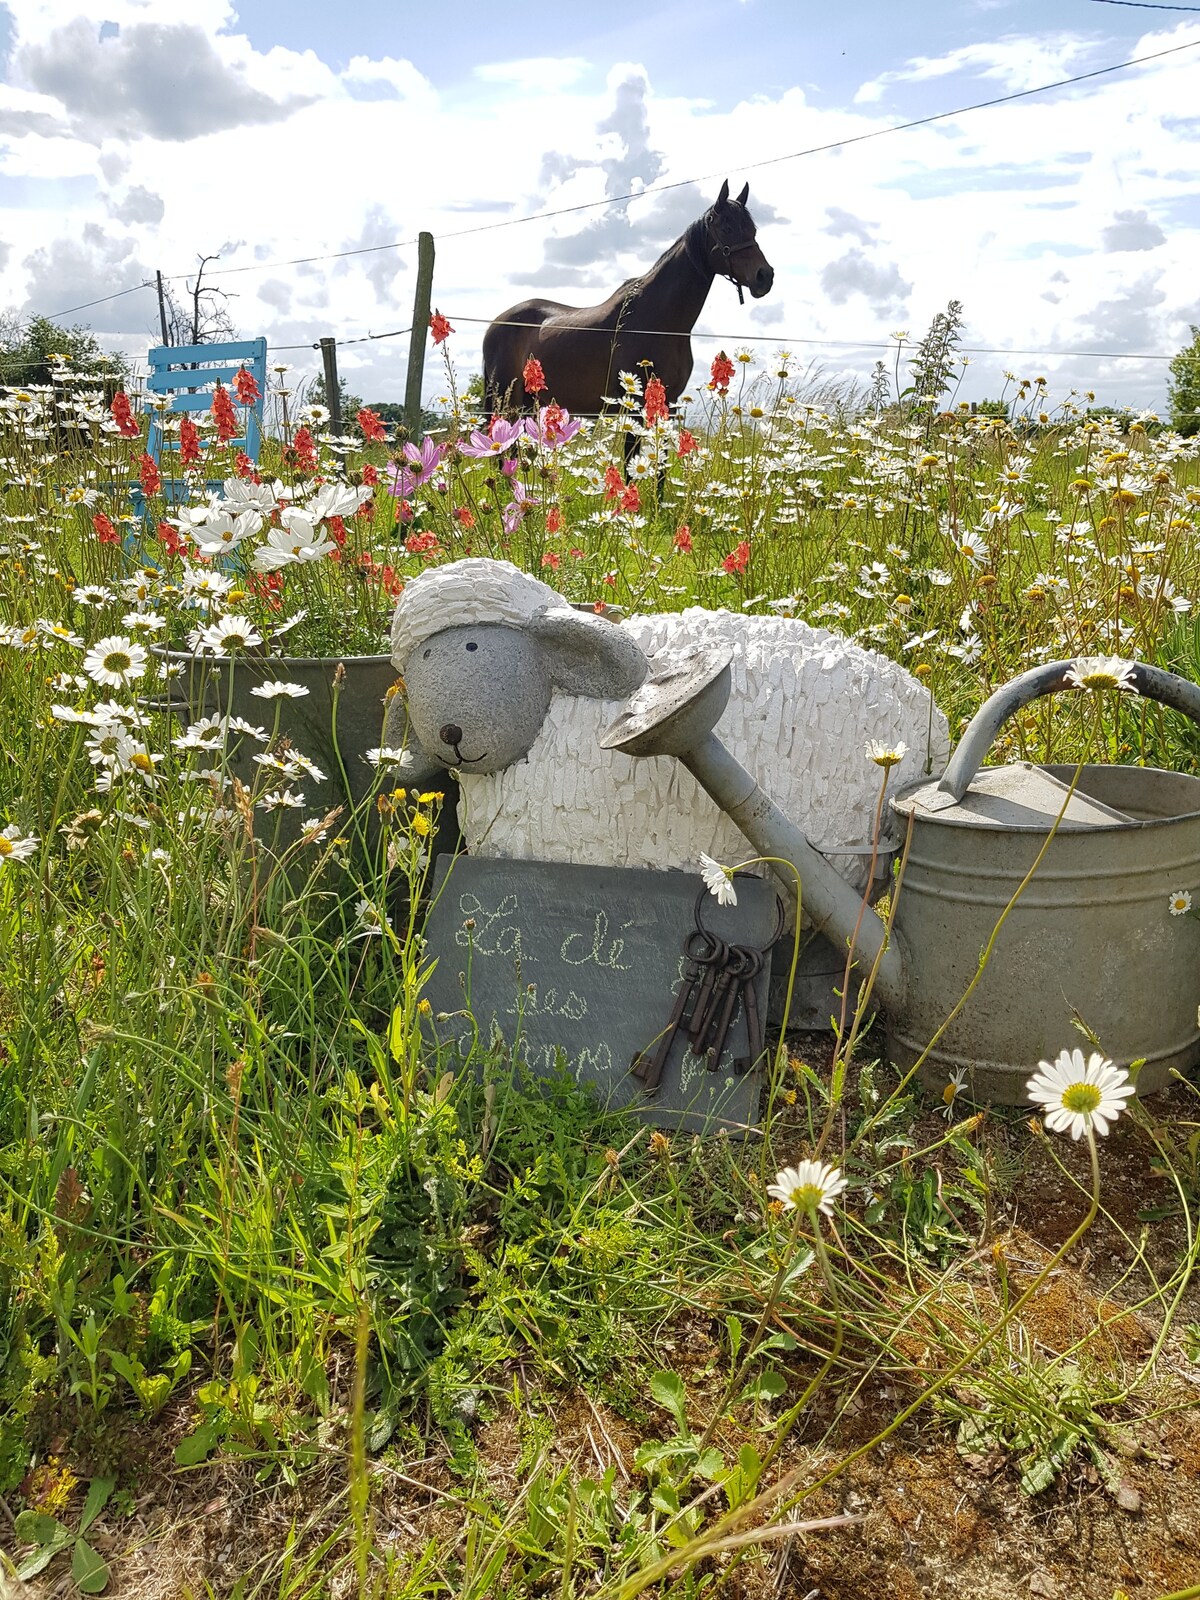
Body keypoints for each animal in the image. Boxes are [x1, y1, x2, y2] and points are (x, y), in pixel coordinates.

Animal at [483, 178, 774, 416]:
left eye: (752, 230)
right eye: (726, 228)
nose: (765, 276)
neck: (661, 323)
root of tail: (496, 324)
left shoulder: (668, 403)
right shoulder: (635, 405)